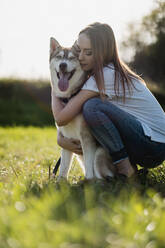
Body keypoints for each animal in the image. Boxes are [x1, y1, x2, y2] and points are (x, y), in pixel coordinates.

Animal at [49, 37, 115, 180]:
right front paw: (60, 182)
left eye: (72, 58)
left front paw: (89, 182)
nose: (63, 65)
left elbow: (89, 167)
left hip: (100, 154)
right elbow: (63, 168)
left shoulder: (86, 137)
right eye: (59, 57)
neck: (68, 98)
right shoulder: (66, 139)